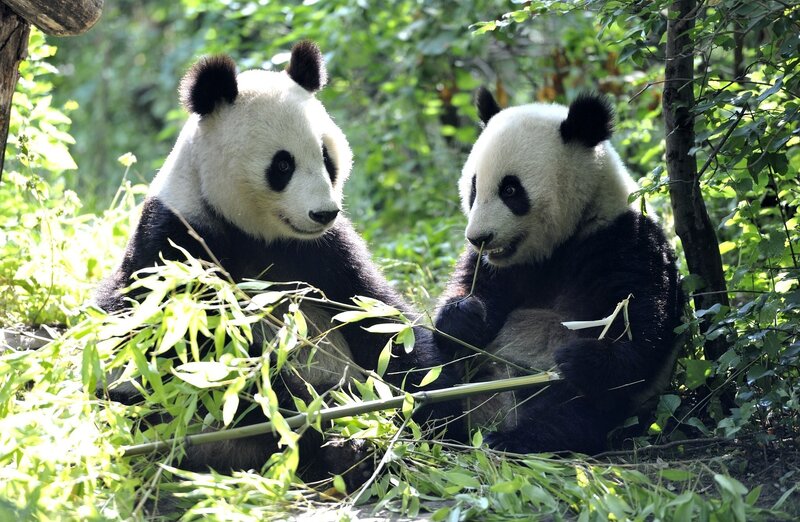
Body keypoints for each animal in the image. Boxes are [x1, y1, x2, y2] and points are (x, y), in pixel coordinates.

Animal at [95, 41, 457, 480]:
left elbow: (379, 318)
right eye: (283, 164)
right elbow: (200, 355)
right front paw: (332, 414)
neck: (254, 231)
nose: (324, 213)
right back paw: (345, 451)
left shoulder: (324, 252)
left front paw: (437, 403)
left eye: (326, 157)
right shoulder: (178, 245)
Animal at [434, 88, 684, 455]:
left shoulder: (622, 242)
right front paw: (463, 316)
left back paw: (514, 438)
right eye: (474, 187)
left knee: (573, 413)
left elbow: (641, 327)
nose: (478, 237)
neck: (559, 244)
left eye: (510, 190)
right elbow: (471, 291)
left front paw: (580, 359)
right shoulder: (501, 268)